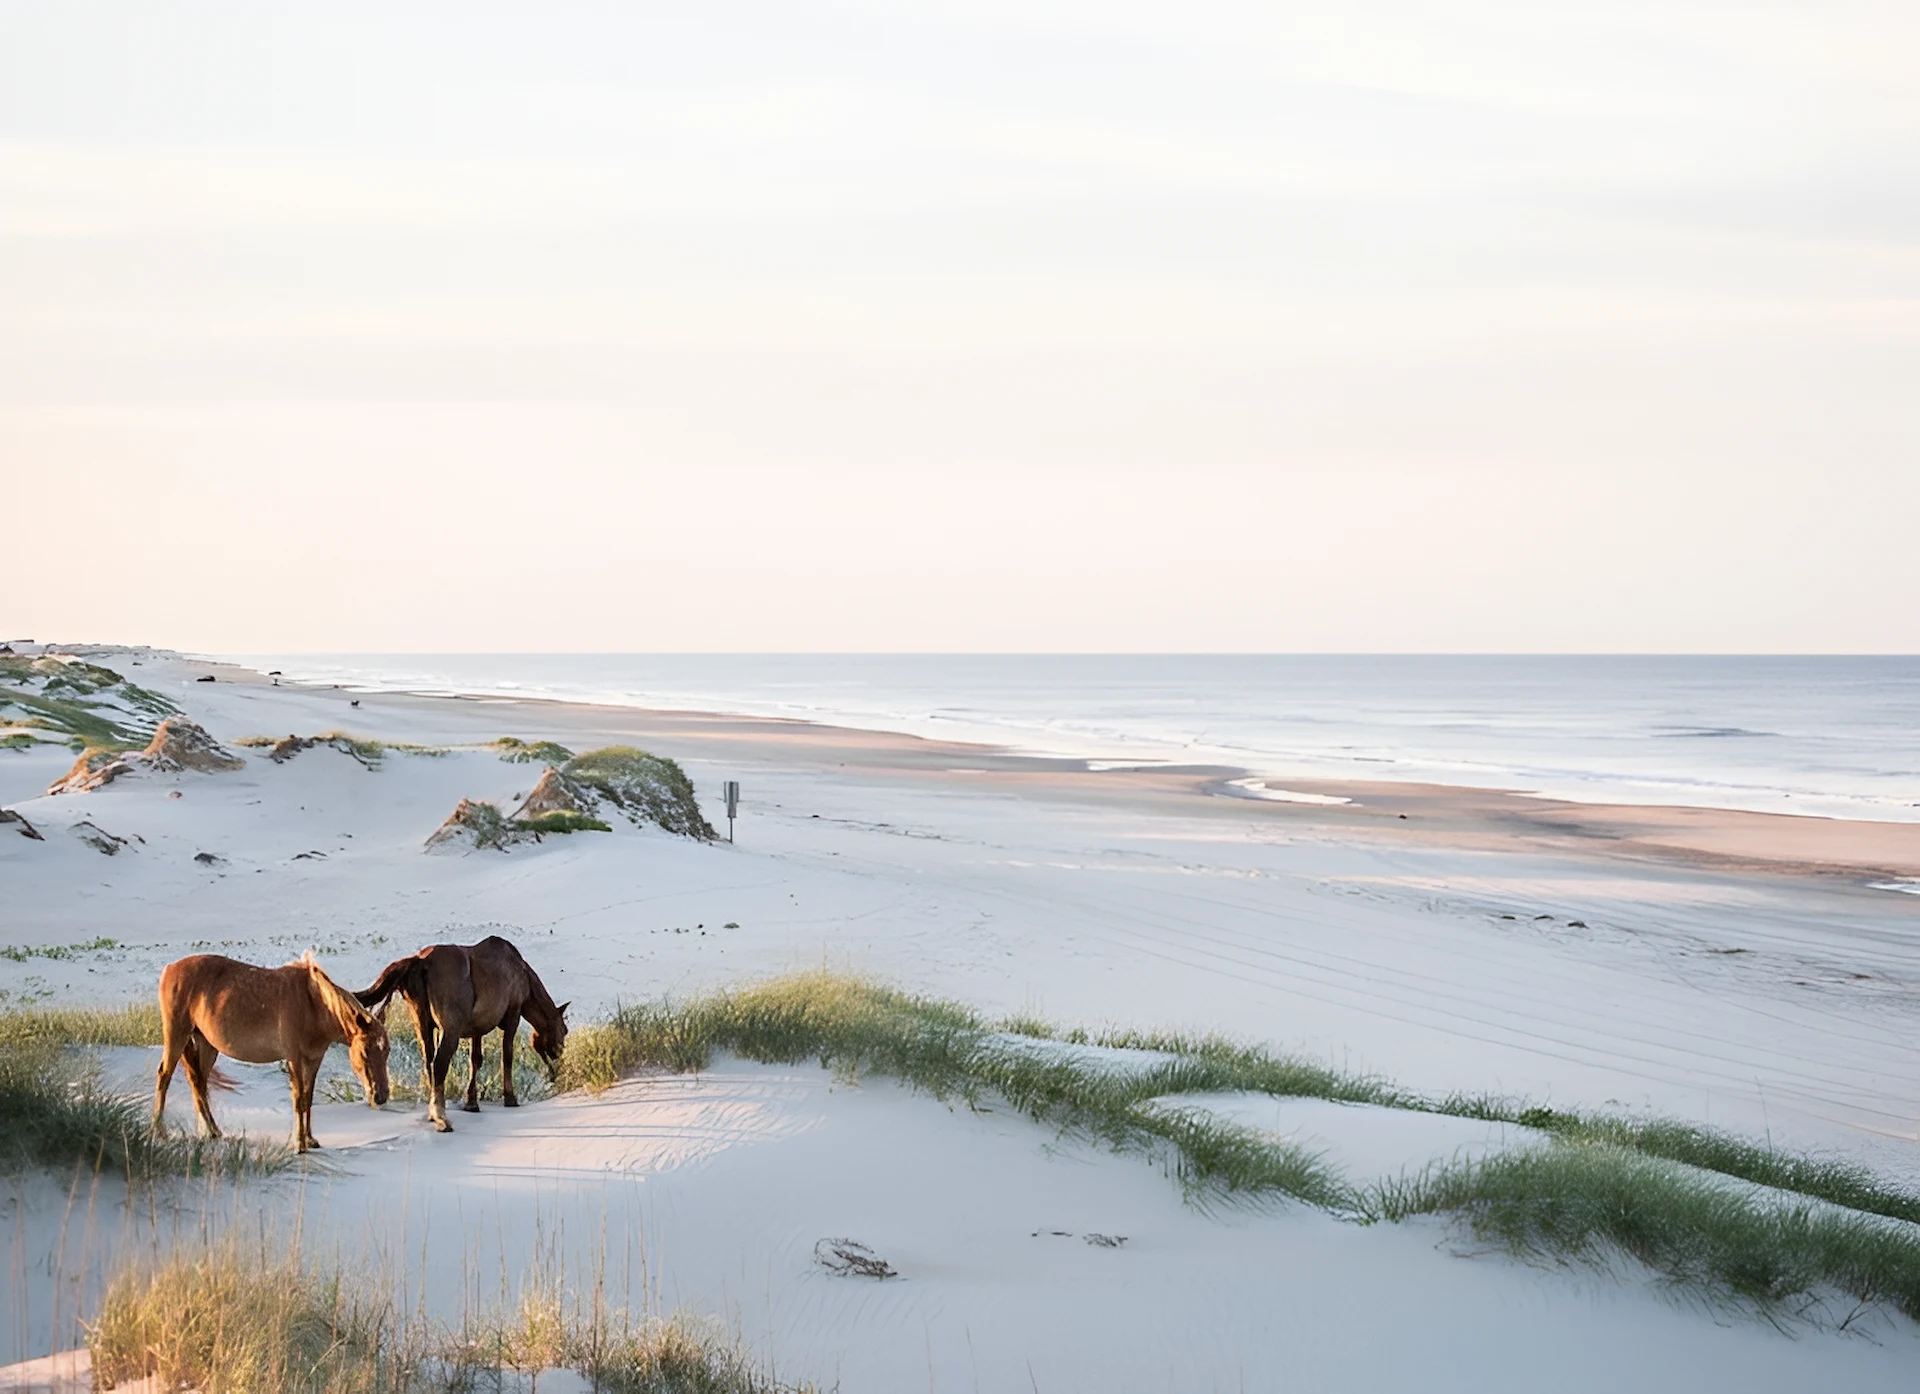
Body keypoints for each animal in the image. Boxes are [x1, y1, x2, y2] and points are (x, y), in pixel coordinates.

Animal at [153, 951, 391, 1153]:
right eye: (365, 1052)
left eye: (386, 1051)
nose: (380, 1096)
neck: (313, 1004)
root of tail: (169, 968)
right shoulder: (294, 1058)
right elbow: (298, 1099)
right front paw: (299, 1144)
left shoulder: (314, 1059)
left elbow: (308, 1098)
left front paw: (310, 1140)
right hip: (177, 1034)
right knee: (165, 1076)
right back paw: (159, 1132)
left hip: (206, 1045)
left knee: (199, 1082)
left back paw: (213, 1131)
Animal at [356, 934, 568, 1133]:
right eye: (564, 1030)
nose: (558, 1063)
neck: (525, 979)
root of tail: (420, 962)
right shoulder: (513, 1013)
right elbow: (507, 1056)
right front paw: (510, 1097)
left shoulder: (478, 1027)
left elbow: (475, 1060)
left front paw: (471, 1101)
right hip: (450, 1029)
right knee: (439, 1064)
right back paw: (441, 1118)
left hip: (421, 1023)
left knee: (428, 1062)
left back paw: (433, 1114)